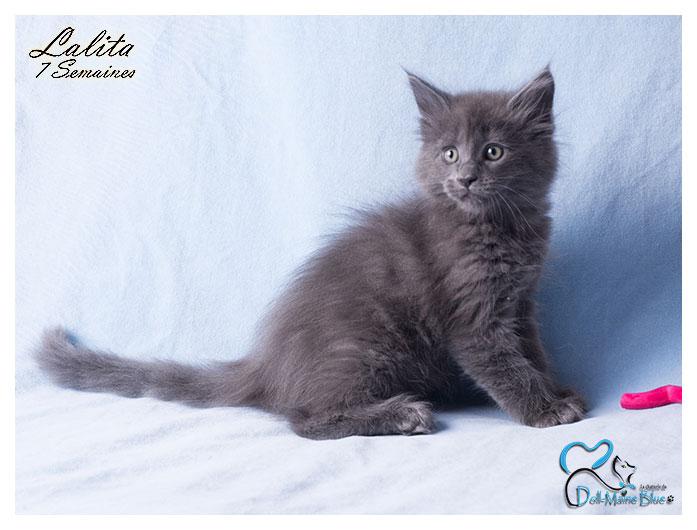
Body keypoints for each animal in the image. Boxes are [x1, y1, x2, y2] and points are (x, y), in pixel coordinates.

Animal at [36, 67, 587, 440]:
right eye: (449, 153)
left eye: (493, 152)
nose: (465, 178)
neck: (497, 226)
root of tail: (265, 365)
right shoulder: (474, 318)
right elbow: (506, 366)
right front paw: (544, 410)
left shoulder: (520, 303)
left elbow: (534, 352)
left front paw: (559, 391)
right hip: (368, 345)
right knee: (305, 419)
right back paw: (402, 414)